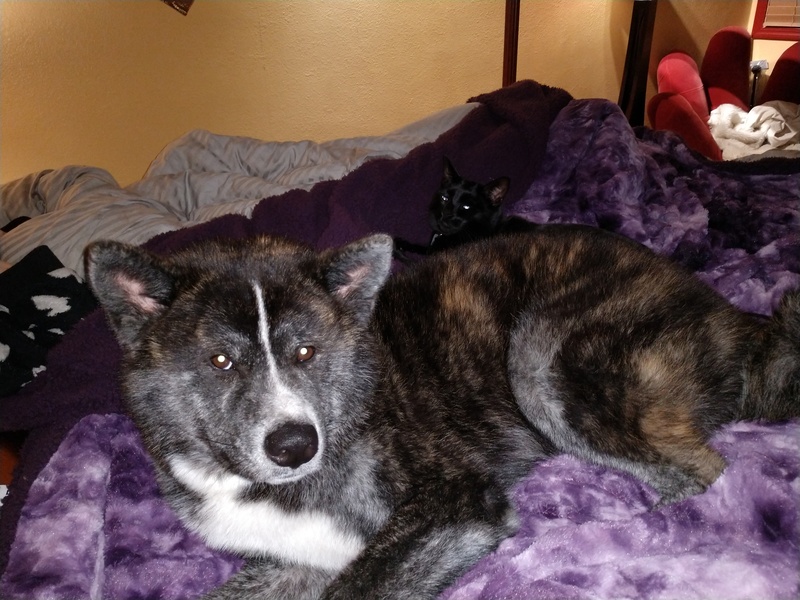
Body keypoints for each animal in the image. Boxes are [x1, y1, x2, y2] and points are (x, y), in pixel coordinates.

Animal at [84, 224, 799, 599]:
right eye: (221, 362)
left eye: (307, 351)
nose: (294, 446)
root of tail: (733, 315)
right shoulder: (289, 561)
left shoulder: (453, 503)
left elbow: (358, 585)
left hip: (543, 354)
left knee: (703, 473)